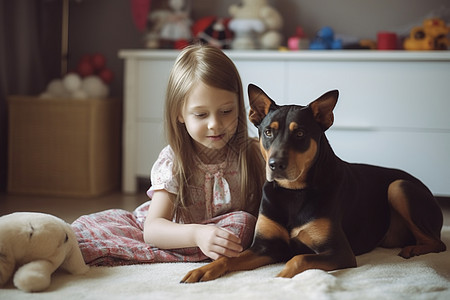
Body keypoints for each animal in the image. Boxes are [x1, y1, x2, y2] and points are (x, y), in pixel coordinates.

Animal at [180, 83, 446, 282]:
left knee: (439, 243)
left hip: (399, 187)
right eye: (268, 132)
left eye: (300, 133)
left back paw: (414, 249)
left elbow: (298, 258)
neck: (293, 192)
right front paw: (203, 269)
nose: (275, 164)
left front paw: (280, 278)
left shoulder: (340, 252)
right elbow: (229, 257)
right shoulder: (265, 247)